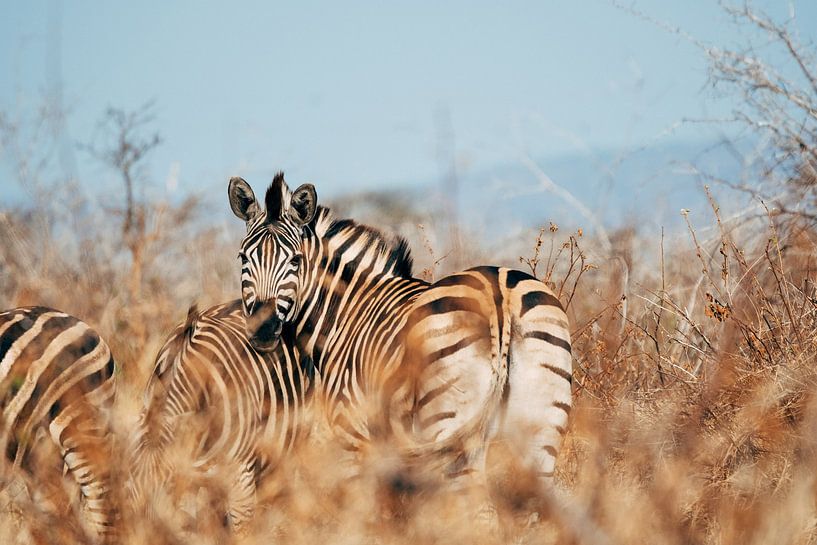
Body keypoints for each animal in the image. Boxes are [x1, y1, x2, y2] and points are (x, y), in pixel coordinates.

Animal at [227, 173, 573, 500]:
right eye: (243, 258)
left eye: (296, 260)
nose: (263, 329)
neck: (346, 311)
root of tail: (499, 295)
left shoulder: (353, 433)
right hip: (541, 427)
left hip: (451, 426)